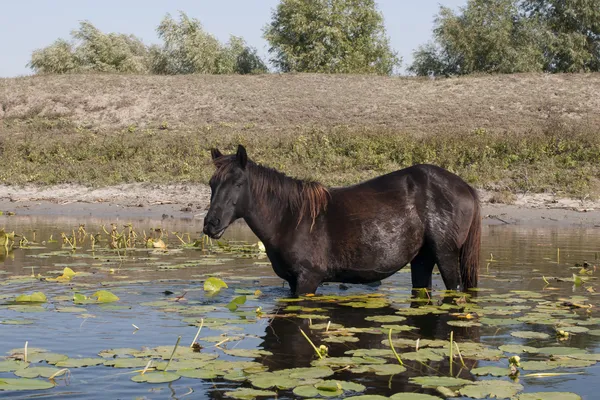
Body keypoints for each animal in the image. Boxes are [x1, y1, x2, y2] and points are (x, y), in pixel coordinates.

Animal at [204, 145, 480, 296]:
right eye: (211, 183)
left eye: (238, 183)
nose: (210, 224)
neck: (289, 219)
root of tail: (465, 186)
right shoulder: (293, 282)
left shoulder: (307, 280)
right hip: (422, 259)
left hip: (446, 255)